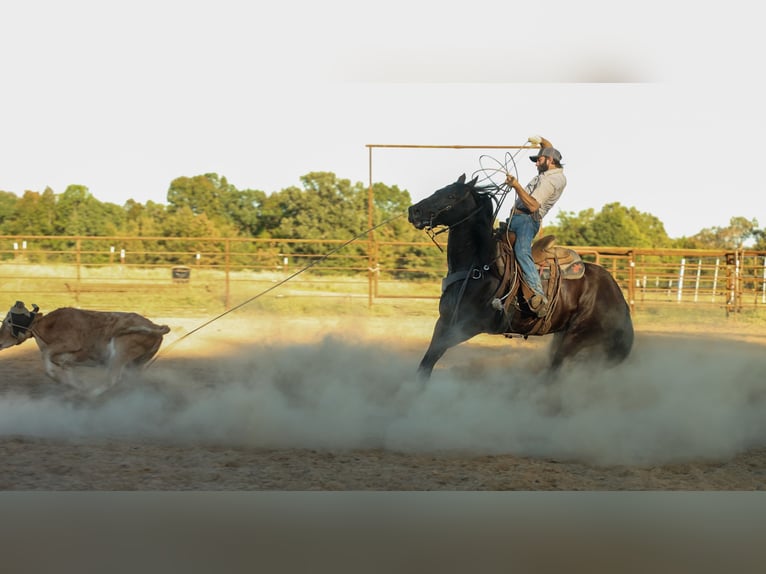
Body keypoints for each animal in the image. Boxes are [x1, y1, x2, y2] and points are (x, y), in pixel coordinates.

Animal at [407, 173, 634, 380]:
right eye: (439, 190)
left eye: (452, 195)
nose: (414, 211)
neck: (480, 265)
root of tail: (618, 296)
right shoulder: (444, 321)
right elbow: (426, 363)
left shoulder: (468, 326)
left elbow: (432, 357)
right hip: (563, 335)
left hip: (576, 337)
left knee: (555, 370)